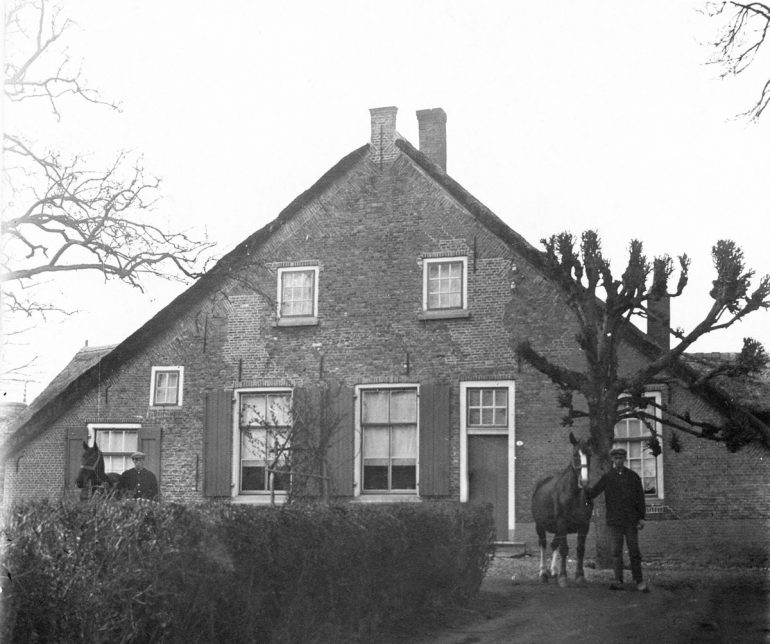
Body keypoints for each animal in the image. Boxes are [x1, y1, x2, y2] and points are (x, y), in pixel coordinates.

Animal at [528, 432, 592, 588]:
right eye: (575, 454)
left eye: (590, 454)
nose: (584, 481)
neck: (574, 495)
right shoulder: (562, 523)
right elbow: (564, 549)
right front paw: (563, 577)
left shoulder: (584, 525)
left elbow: (580, 549)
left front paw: (580, 576)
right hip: (540, 526)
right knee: (543, 545)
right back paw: (543, 573)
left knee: (553, 545)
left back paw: (553, 571)